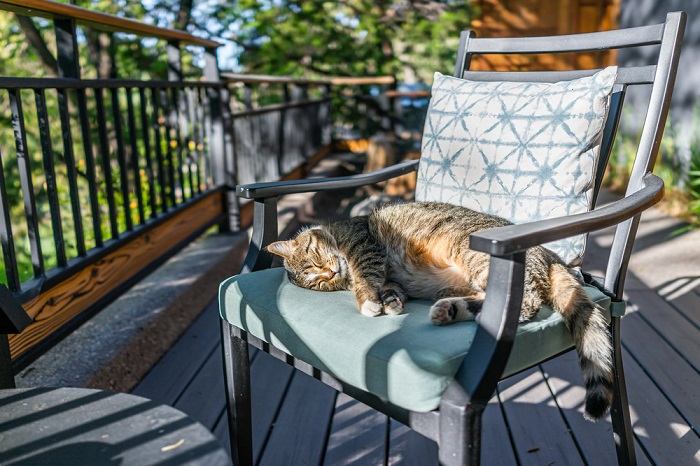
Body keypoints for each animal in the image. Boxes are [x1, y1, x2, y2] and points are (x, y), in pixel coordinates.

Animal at [266, 202, 612, 420]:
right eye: (320, 283)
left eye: (313, 257)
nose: (329, 273)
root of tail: (551, 254)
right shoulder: (389, 279)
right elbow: (389, 288)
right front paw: (390, 303)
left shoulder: (362, 243)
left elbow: (366, 273)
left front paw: (367, 301)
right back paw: (449, 309)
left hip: (474, 254)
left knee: (526, 302)